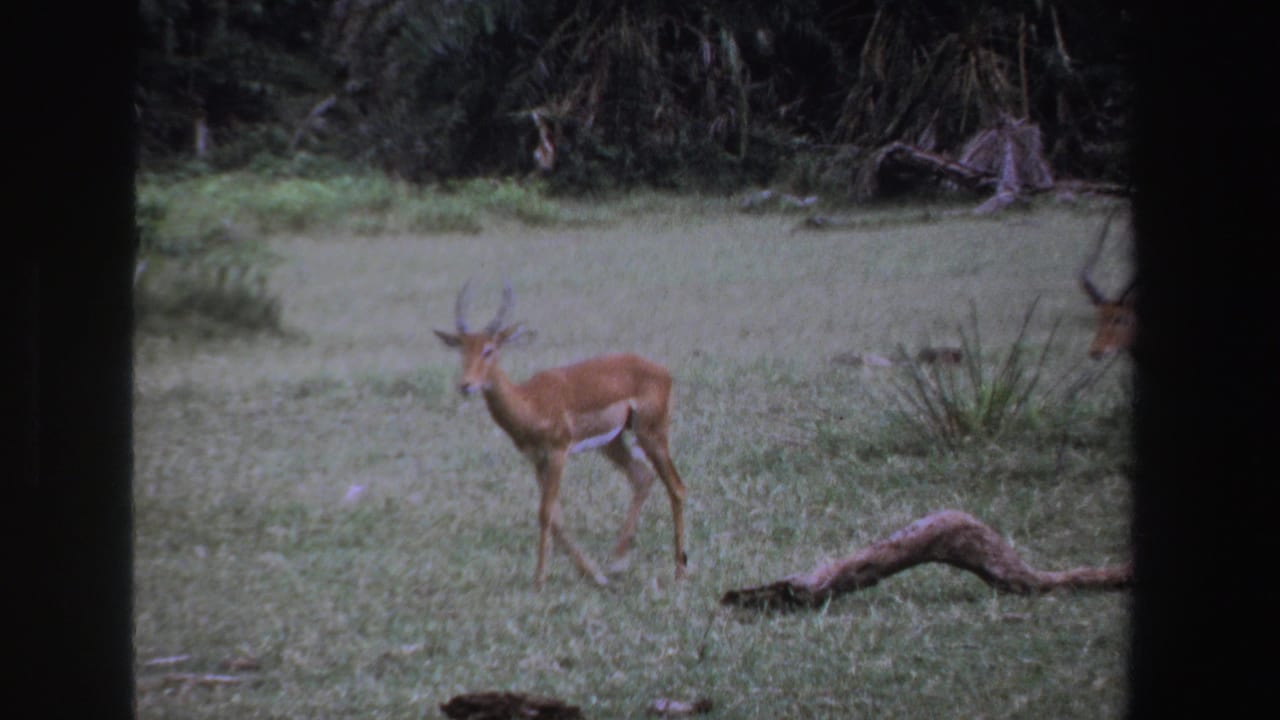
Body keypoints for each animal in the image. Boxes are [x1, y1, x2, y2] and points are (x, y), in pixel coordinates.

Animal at [434, 281, 688, 589]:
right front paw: (593, 573)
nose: (466, 385)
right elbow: (555, 516)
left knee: (677, 487)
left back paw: (680, 572)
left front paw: (539, 579)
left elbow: (545, 512)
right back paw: (616, 562)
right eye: (462, 349)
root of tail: (663, 371)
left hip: (652, 434)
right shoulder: (537, 459)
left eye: (489, 349)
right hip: (612, 443)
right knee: (642, 477)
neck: (530, 401)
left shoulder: (558, 453)